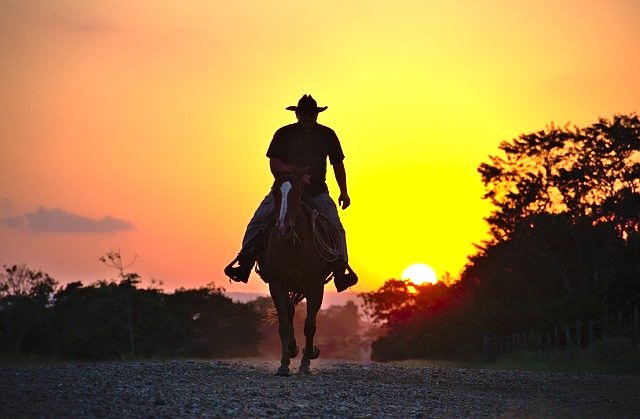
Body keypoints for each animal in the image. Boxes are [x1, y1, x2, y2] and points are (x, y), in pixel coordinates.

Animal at [258, 174, 332, 378]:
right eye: (275, 192)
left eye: (298, 192)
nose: (284, 228)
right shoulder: (276, 285)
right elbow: (284, 325)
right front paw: (284, 365)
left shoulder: (315, 287)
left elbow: (309, 326)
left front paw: (307, 361)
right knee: (290, 313)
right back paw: (292, 349)